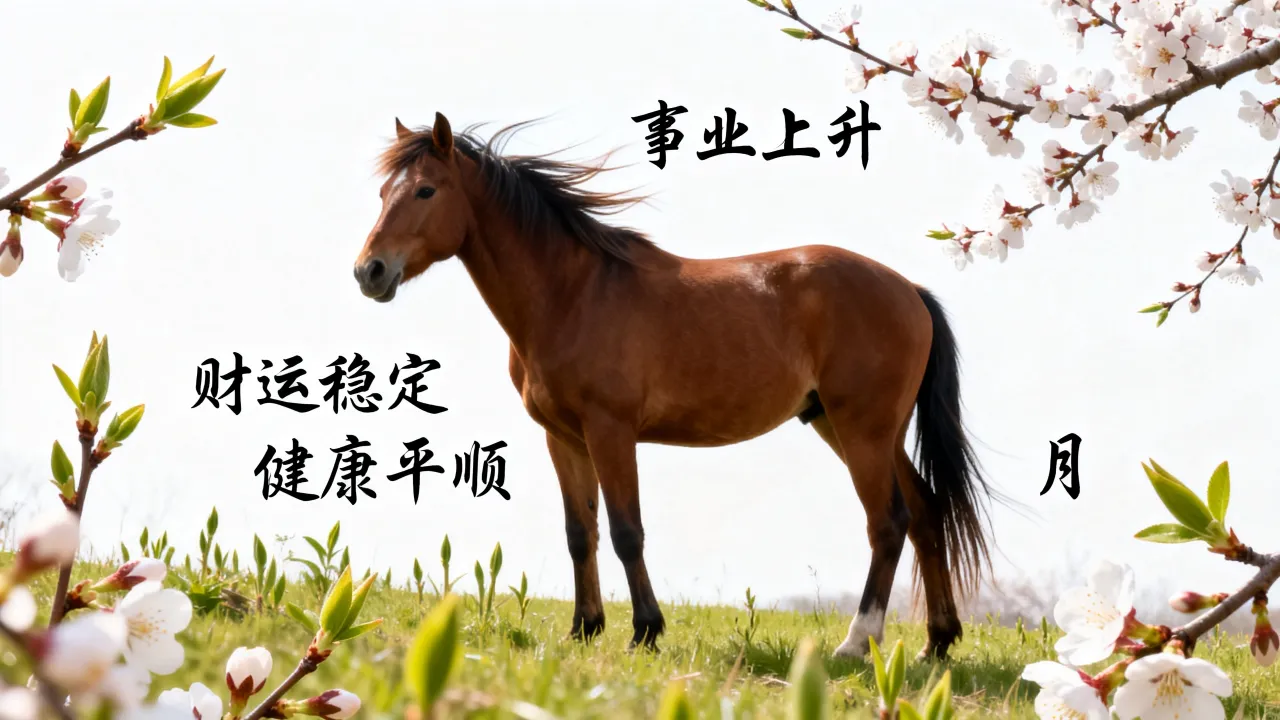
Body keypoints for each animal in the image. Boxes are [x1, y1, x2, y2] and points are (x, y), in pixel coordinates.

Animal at [353, 113, 995, 659]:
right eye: (383, 194)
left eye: (426, 191)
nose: (369, 271)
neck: (572, 295)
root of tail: (909, 290)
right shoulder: (563, 438)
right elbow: (580, 533)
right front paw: (583, 630)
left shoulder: (610, 432)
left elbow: (625, 531)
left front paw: (645, 631)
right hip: (854, 428)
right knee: (926, 512)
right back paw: (937, 642)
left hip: (862, 430)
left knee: (888, 522)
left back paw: (856, 643)